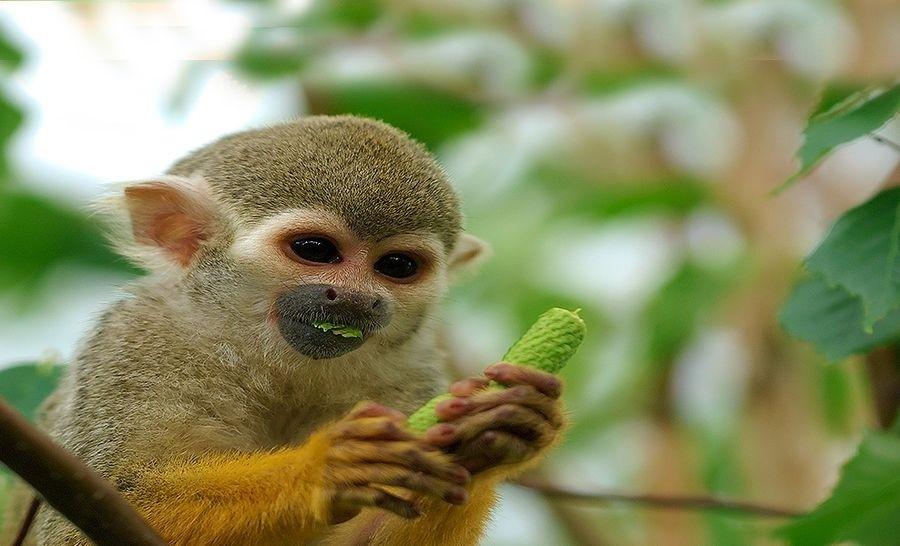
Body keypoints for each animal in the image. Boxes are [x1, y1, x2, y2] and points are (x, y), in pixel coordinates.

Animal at [1, 116, 564, 544]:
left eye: (397, 266)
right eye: (315, 251)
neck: (267, 355)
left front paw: (490, 436)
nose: (356, 298)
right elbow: (97, 514)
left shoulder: (409, 377)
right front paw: (323, 471)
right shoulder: (135, 345)